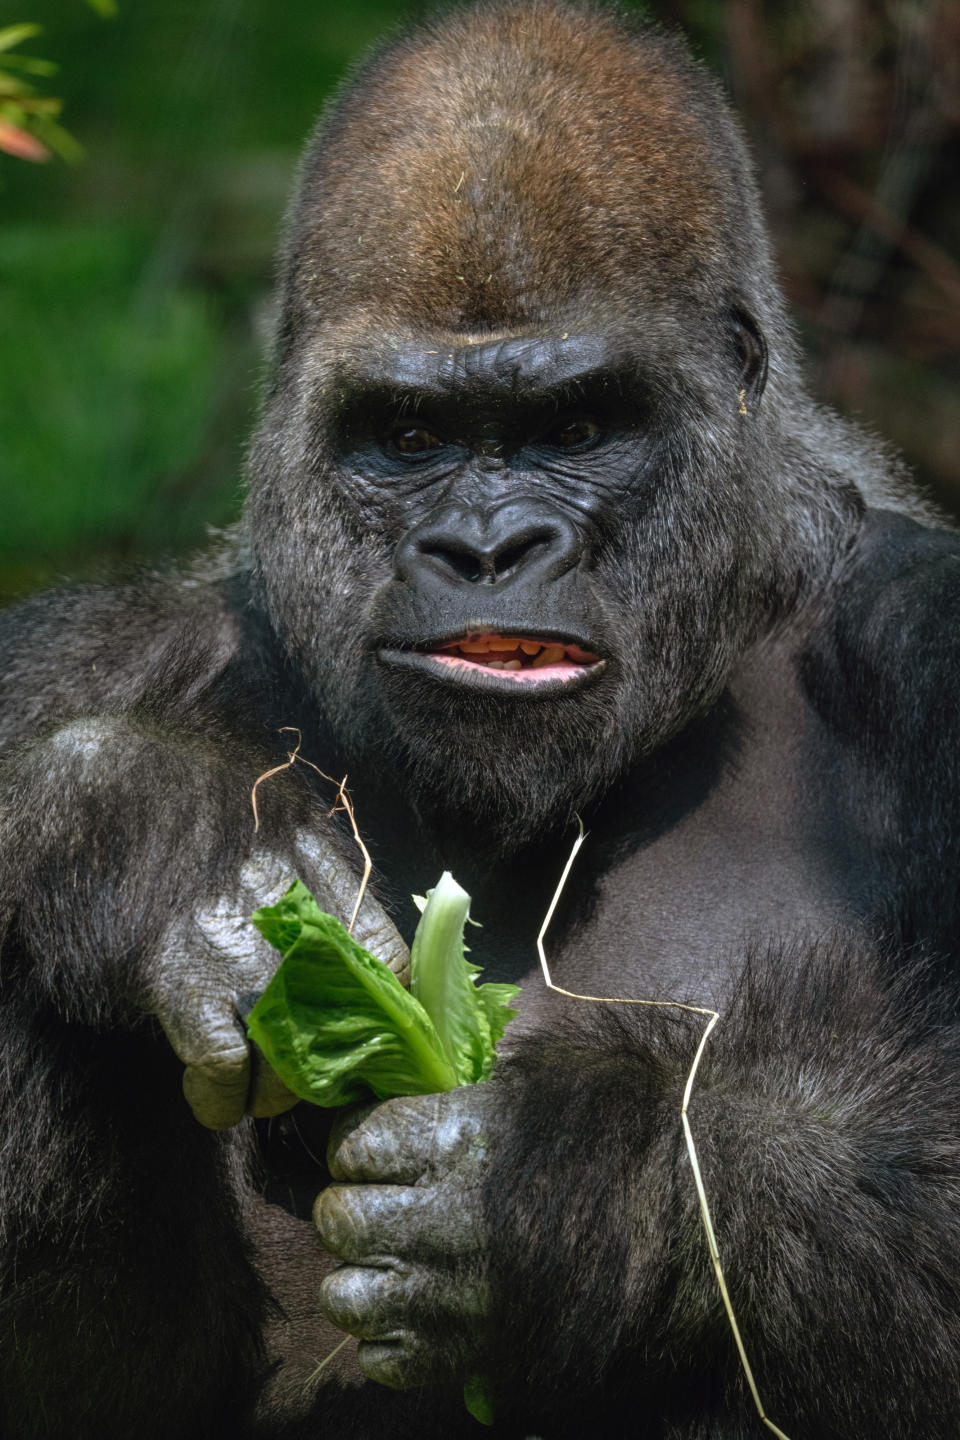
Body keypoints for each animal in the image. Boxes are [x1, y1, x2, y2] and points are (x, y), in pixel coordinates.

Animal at [1, 2, 960, 1440]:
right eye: (408, 436)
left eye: (576, 425)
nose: (486, 547)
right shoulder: (105, 651)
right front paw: (136, 829)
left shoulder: (927, 641)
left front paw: (567, 1194)